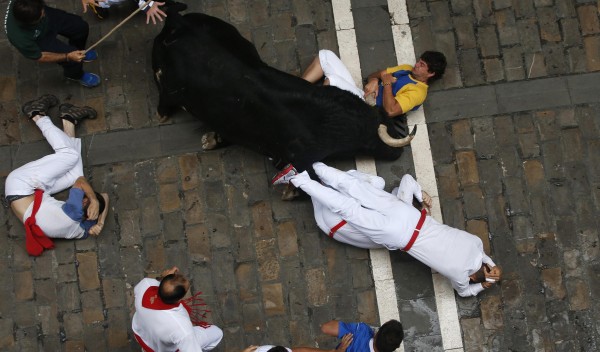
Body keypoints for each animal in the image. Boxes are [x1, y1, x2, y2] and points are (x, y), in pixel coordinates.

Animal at [154, 11, 418, 174]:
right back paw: (162, 113)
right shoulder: (300, 158)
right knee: (164, 97)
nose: (399, 152)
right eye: (384, 128)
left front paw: (213, 139)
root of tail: (181, 23)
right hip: (169, 88)